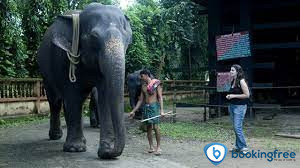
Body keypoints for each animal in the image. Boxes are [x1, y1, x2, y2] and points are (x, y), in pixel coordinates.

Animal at [36, 3, 132, 159]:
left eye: (127, 38)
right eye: (94, 37)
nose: (106, 152)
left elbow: (104, 97)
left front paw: (104, 150)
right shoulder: (64, 59)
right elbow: (73, 96)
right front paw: (76, 149)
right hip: (45, 72)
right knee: (55, 101)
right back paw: (56, 136)